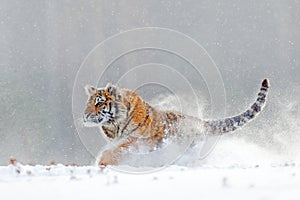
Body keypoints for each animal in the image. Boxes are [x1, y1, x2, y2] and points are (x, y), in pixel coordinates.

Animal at [84, 78, 270, 166]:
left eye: (99, 103)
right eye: (88, 103)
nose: (85, 116)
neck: (114, 125)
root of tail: (200, 122)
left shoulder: (142, 139)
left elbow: (121, 148)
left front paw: (103, 161)